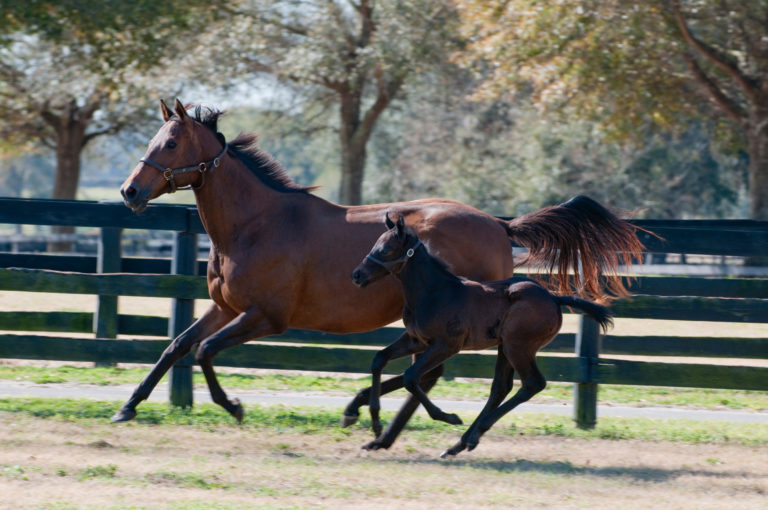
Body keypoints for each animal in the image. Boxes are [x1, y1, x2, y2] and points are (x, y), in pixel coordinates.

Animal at [350, 214, 613, 456]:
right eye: (375, 244)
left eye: (386, 249)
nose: (357, 275)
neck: (435, 293)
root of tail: (554, 299)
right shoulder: (417, 340)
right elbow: (379, 359)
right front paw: (374, 425)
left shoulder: (446, 345)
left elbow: (410, 377)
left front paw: (449, 417)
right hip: (505, 346)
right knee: (501, 387)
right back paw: (460, 443)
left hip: (518, 346)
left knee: (532, 383)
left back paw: (472, 435)